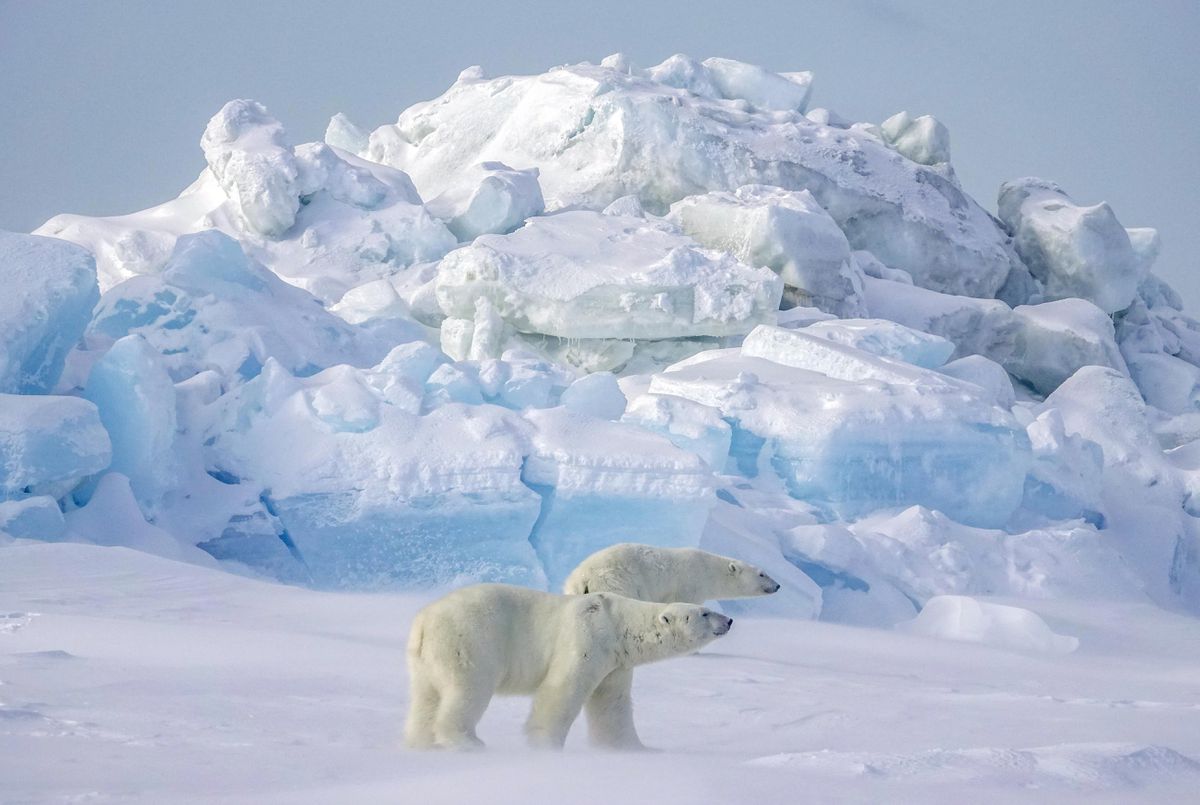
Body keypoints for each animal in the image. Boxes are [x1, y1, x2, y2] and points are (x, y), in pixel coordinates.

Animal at [404, 583, 732, 751]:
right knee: (468, 689)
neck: (618, 624)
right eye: (704, 613)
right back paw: (468, 741)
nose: (728, 620)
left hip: (426, 660)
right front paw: (545, 745)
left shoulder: (616, 663)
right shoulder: (587, 635)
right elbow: (563, 689)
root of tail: (423, 622)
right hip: (470, 641)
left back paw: (419, 743)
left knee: (425, 698)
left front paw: (631, 748)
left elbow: (611, 704)